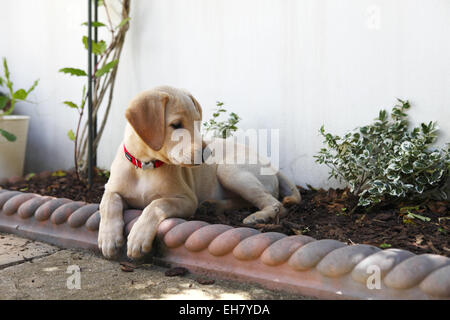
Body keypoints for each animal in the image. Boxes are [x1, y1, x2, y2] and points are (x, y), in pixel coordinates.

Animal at [99, 85, 302, 260]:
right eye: (176, 124)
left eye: (197, 123)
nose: (208, 153)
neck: (146, 166)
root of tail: (272, 166)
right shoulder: (111, 189)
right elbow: (108, 203)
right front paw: (108, 238)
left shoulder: (187, 200)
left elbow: (156, 204)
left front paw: (138, 237)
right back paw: (212, 206)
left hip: (229, 169)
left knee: (276, 204)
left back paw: (257, 216)